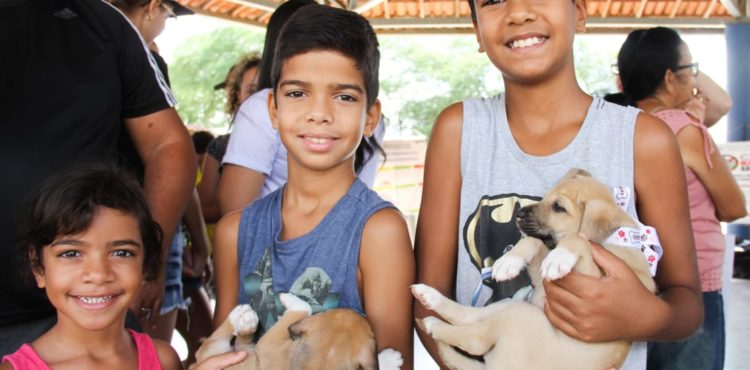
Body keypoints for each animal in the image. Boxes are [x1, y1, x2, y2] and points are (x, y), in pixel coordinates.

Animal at [195, 294, 406, 370]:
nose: (359, 311)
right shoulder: (270, 344)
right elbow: (303, 307)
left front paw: (389, 359)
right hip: (215, 350)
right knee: (215, 338)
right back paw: (239, 315)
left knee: (242, 343)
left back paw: (247, 323)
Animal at [418, 168, 656, 370]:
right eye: (545, 197)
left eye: (559, 207)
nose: (518, 214)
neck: (615, 238)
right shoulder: (540, 270)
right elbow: (533, 240)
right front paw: (509, 261)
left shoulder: (593, 278)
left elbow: (579, 239)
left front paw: (558, 257)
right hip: (514, 307)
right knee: (471, 317)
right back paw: (429, 302)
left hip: (523, 316)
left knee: (475, 340)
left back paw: (434, 324)